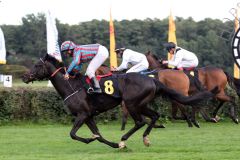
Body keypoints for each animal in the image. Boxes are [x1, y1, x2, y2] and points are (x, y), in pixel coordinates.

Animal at [23, 53, 218, 149]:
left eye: (37, 65)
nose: (25, 76)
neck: (71, 86)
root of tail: (152, 79)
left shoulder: (82, 114)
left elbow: (73, 134)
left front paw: (94, 140)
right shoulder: (89, 116)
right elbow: (99, 136)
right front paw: (113, 144)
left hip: (132, 103)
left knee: (140, 121)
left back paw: (125, 139)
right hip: (141, 104)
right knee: (154, 116)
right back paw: (145, 139)